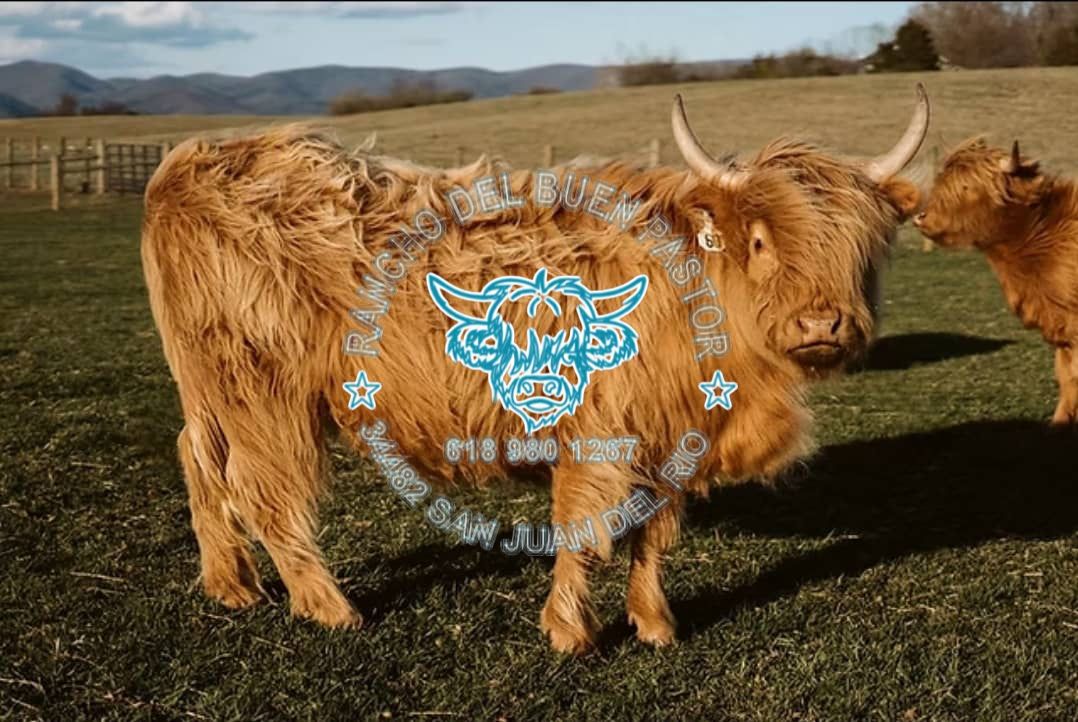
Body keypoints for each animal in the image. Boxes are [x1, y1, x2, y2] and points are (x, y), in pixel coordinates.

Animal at [141, 88, 928, 654]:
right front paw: (570, 633)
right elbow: (583, 529)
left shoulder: (670, 436)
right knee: (263, 492)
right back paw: (329, 607)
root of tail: (188, 162)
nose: (821, 325)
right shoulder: (597, 432)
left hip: (212, 390)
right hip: (262, 394)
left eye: (865, 245)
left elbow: (652, 536)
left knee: (199, 461)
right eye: (762, 240)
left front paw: (655, 625)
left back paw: (231, 585)